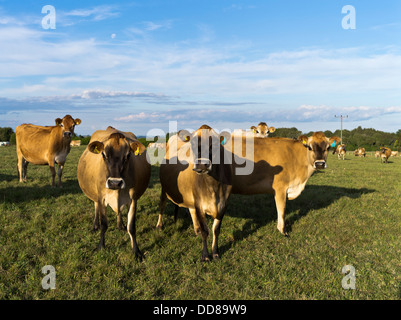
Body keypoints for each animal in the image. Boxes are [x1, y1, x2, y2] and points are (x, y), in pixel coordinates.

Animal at [76, 126, 150, 258]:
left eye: (128, 155)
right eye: (104, 155)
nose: (115, 183)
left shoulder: (133, 199)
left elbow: (131, 227)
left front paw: (136, 251)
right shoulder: (101, 198)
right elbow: (104, 225)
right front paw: (101, 247)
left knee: (119, 212)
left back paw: (120, 225)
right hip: (95, 196)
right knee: (95, 207)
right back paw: (95, 225)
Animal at [157, 124, 231, 262]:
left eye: (216, 144)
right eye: (192, 143)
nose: (202, 165)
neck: (213, 186)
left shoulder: (224, 204)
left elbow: (216, 230)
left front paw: (215, 253)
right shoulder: (199, 203)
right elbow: (205, 231)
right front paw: (205, 255)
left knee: (191, 210)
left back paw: (196, 228)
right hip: (164, 188)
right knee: (162, 205)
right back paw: (159, 225)